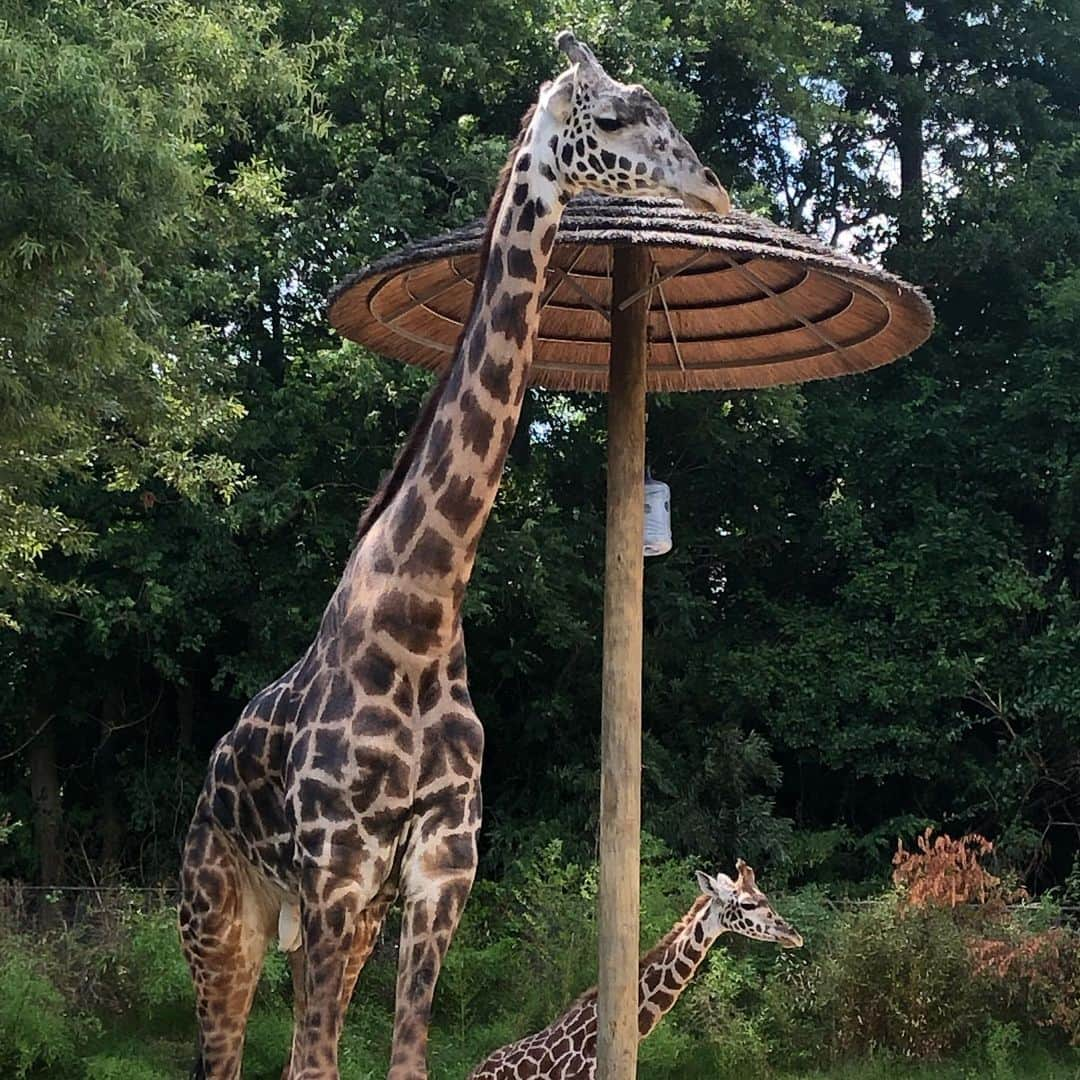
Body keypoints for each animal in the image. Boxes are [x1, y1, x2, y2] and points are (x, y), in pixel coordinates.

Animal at [179, 31, 734, 1080]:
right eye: (614, 117)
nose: (715, 192)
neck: (424, 602)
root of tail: (205, 787)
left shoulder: (442, 862)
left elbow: (404, 1057)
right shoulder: (340, 858)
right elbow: (318, 1061)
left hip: (331, 917)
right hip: (221, 917)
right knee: (231, 1053)